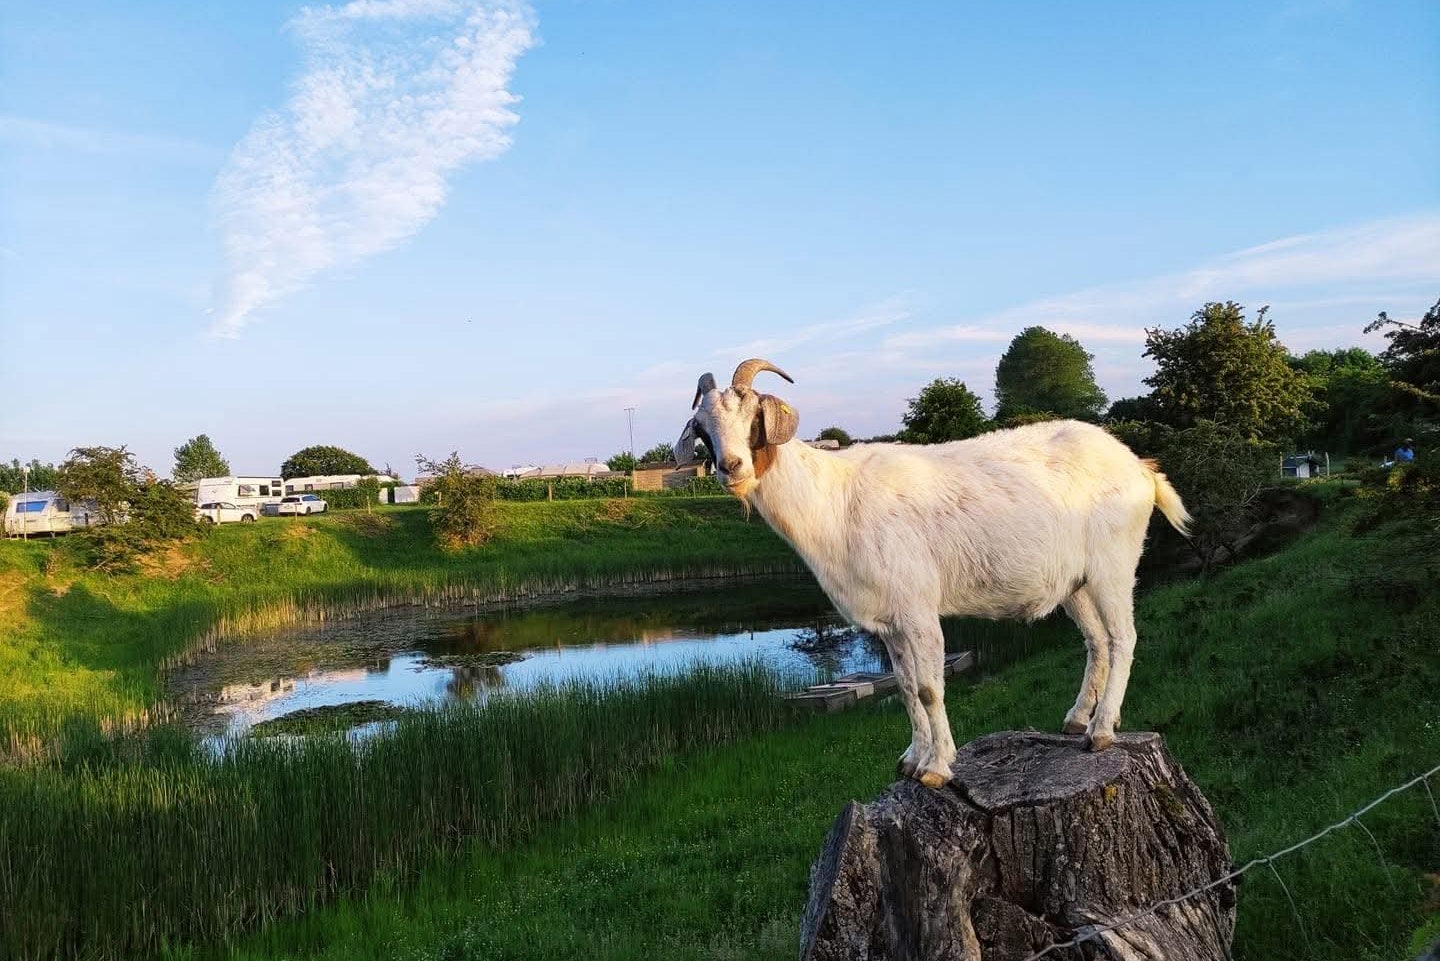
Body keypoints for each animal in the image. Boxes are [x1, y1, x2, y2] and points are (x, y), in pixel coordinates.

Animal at [675, 359, 1191, 788]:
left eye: (753, 417)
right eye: (702, 429)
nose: (731, 467)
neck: (836, 502)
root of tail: (1140, 466)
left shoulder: (918, 608)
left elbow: (927, 688)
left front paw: (938, 767)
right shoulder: (888, 621)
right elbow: (904, 688)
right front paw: (911, 759)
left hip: (1113, 565)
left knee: (1123, 638)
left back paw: (1101, 731)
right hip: (1076, 582)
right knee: (1097, 641)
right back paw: (1079, 719)